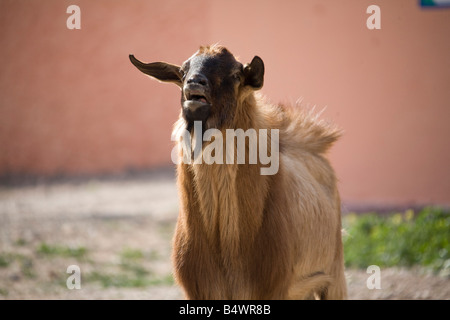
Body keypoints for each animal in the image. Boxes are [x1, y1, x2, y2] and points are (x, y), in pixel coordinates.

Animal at [130, 45, 348, 300]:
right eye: (183, 71)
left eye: (235, 74)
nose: (195, 82)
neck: (227, 246)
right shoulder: (201, 291)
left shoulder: (272, 289)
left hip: (334, 274)